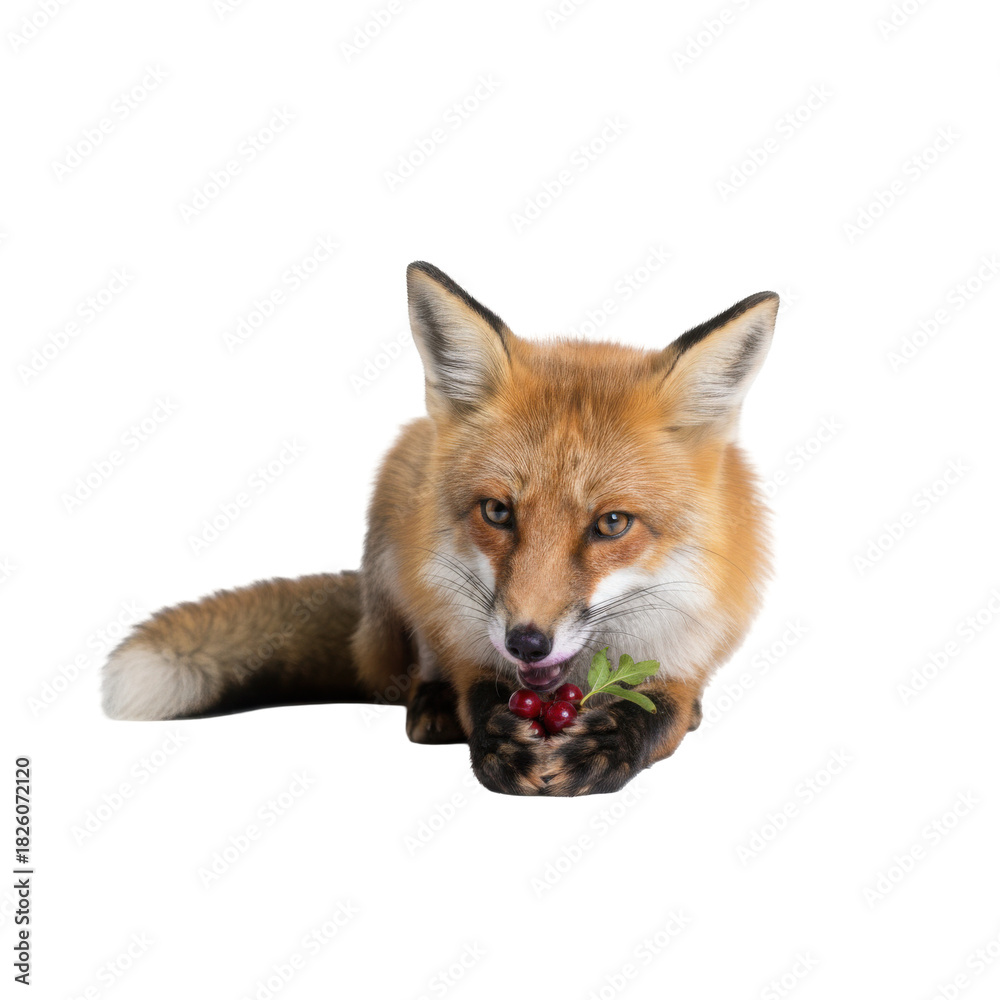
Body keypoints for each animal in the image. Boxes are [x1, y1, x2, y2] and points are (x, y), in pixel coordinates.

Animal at [102, 261, 779, 796]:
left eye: (612, 523)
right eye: (497, 512)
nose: (526, 643)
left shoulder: (691, 646)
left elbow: (661, 712)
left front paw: (608, 743)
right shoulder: (463, 629)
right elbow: (473, 683)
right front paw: (494, 735)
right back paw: (429, 703)